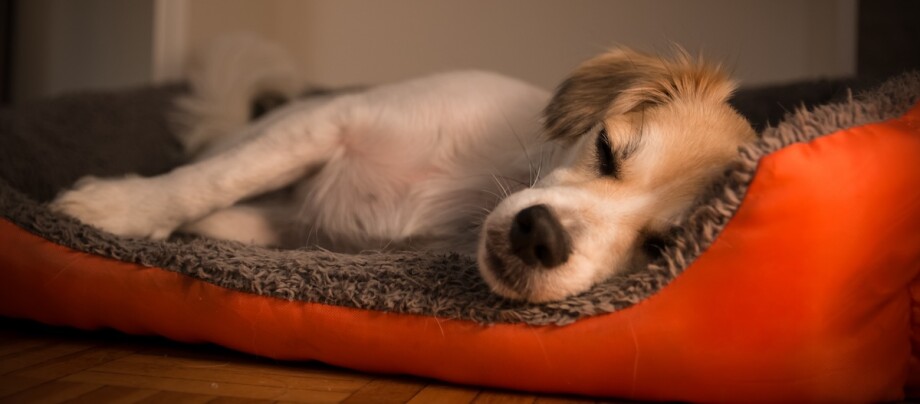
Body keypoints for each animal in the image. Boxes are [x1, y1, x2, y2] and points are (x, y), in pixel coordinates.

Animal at [50, 36, 756, 304]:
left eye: (660, 248)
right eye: (607, 148)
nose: (541, 235)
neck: (469, 192)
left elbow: (234, 213)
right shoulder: (330, 122)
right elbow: (212, 180)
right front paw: (118, 210)